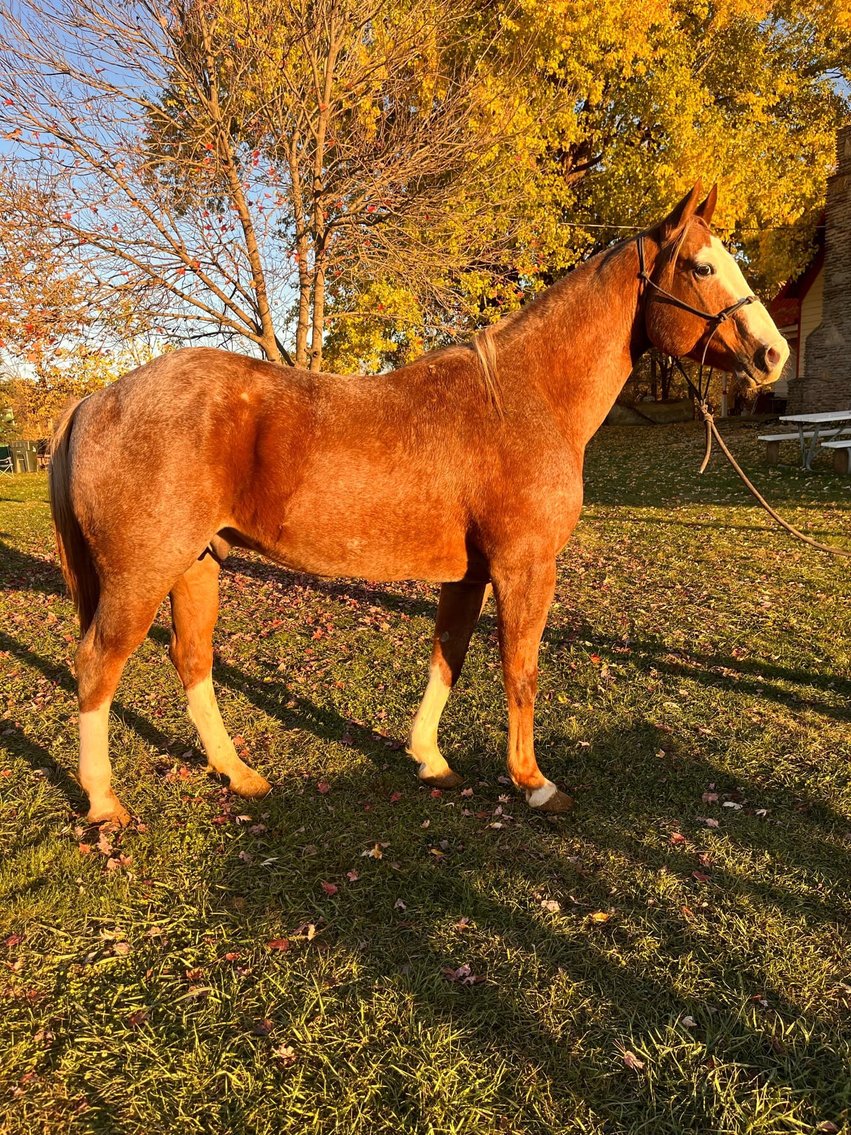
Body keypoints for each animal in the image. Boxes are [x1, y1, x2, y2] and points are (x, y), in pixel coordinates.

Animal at [49, 181, 788, 826]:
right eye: (700, 265)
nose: (771, 353)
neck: (519, 397)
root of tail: (97, 397)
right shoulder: (524, 568)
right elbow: (520, 670)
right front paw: (534, 783)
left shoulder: (468, 574)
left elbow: (449, 655)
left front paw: (429, 758)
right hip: (142, 575)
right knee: (97, 666)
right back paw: (105, 802)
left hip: (197, 565)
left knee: (192, 662)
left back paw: (239, 774)